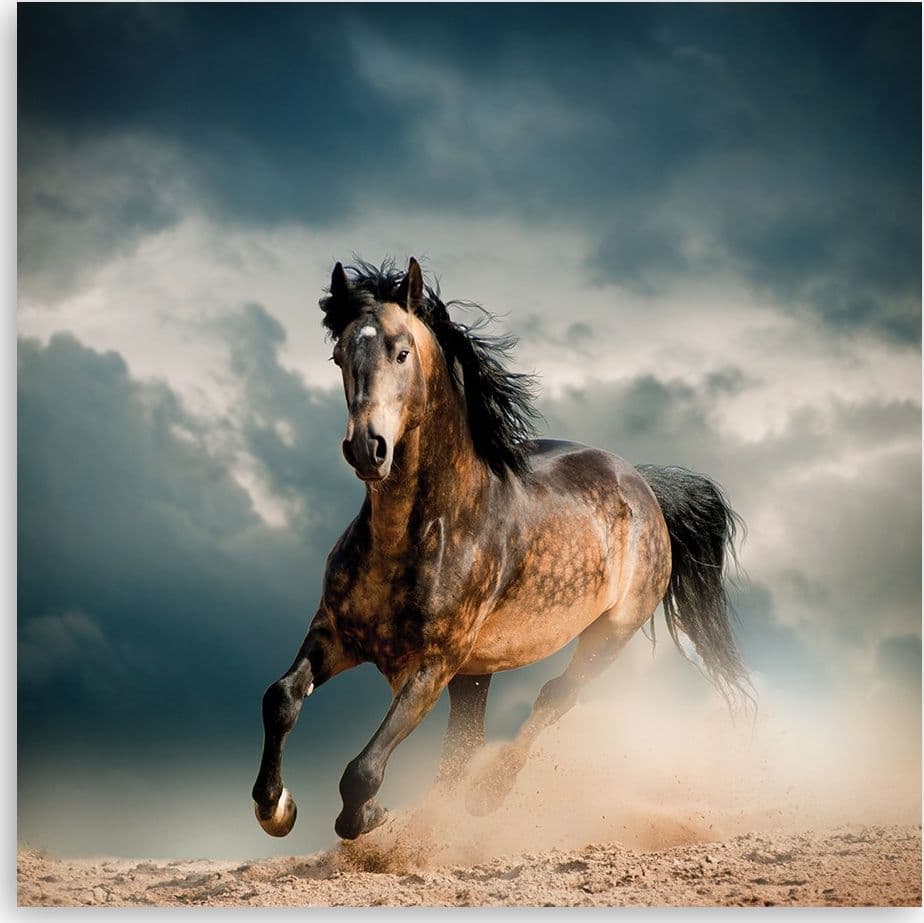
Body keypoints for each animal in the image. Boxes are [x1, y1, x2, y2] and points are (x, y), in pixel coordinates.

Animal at [251, 257, 750, 841]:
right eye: (338, 356)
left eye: (401, 351)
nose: (367, 448)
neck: (418, 534)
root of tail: (643, 485)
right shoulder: (335, 634)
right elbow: (281, 698)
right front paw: (276, 808)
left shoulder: (433, 665)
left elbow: (363, 770)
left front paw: (368, 817)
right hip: (477, 672)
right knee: (463, 745)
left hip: (608, 635)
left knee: (554, 697)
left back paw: (486, 796)